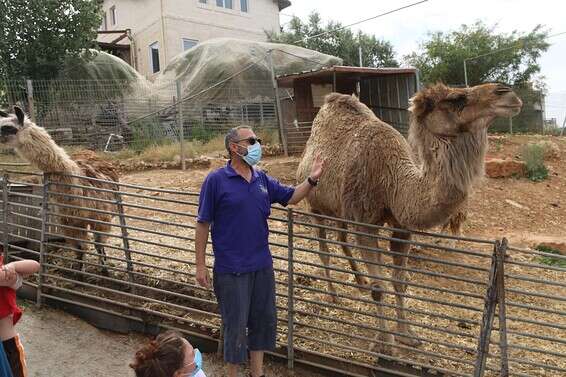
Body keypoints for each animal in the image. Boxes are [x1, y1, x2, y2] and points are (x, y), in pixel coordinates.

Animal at [0, 106, 121, 274]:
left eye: (8, 127)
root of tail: (88, 151)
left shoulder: (100, 218)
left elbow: (99, 246)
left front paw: (105, 271)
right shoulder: (69, 222)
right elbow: (79, 249)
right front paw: (79, 274)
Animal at [298, 81, 524, 352]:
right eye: (456, 98)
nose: (507, 93)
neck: (393, 182)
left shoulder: (402, 227)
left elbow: (400, 282)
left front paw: (408, 336)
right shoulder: (364, 223)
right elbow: (379, 288)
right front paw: (385, 344)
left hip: (340, 211)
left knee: (341, 239)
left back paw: (359, 281)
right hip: (316, 206)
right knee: (324, 249)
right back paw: (333, 294)